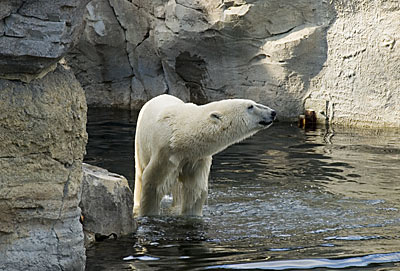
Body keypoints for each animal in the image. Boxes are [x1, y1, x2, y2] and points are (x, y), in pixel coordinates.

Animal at [133, 94, 276, 218]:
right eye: (250, 106)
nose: (273, 112)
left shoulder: (196, 158)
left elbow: (195, 189)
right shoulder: (165, 152)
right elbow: (153, 184)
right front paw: (148, 214)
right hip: (140, 143)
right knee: (140, 174)